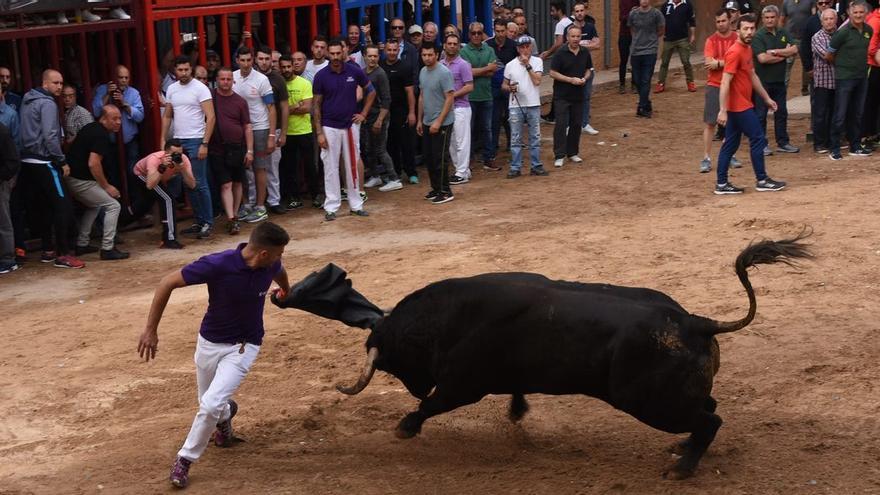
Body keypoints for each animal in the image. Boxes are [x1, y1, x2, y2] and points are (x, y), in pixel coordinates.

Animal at [274, 236, 812, 480]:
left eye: (391, 361)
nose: (414, 382)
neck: (448, 317)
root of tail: (698, 321)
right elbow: (513, 392)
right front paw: (517, 414)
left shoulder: (462, 384)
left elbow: (432, 406)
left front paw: (405, 426)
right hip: (672, 397)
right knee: (711, 412)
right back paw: (683, 452)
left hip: (648, 402)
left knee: (710, 420)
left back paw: (681, 468)